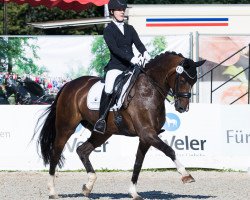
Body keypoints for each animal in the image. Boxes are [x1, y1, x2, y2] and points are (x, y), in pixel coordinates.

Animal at [33, 52, 205, 200]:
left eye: (194, 81)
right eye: (182, 80)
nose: (182, 108)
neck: (149, 90)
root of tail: (69, 85)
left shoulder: (145, 137)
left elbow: (138, 163)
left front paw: (133, 192)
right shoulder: (147, 133)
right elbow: (169, 150)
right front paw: (186, 175)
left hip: (102, 132)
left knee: (82, 150)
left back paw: (88, 186)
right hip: (66, 127)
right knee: (56, 153)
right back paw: (52, 191)